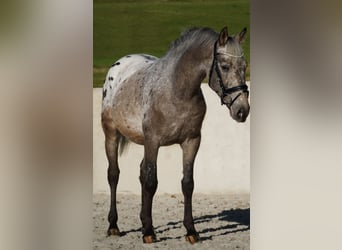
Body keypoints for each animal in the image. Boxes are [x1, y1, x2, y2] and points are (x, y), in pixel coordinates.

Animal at [100, 26, 250, 243]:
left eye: (244, 66)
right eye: (224, 66)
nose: (242, 110)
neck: (177, 90)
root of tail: (119, 64)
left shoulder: (191, 142)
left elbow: (187, 184)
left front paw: (191, 231)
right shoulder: (153, 141)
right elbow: (151, 182)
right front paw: (149, 233)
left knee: (141, 173)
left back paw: (143, 220)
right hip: (111, 134)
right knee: (114, 175)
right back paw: (114, 226)